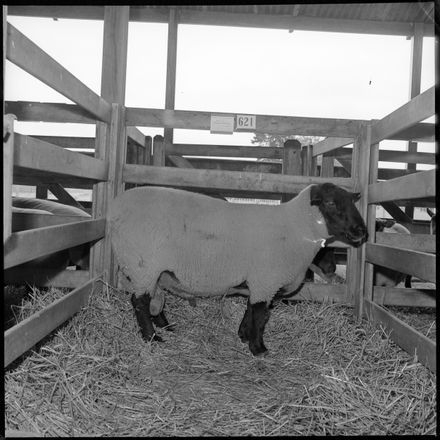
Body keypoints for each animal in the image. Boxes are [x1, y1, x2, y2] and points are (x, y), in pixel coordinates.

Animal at [109, 182, 368, 358]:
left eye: (352, 202)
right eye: (331, 203)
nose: (362, 232)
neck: (297, 228)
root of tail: (116, 206)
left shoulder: (259, 280)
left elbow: (250, 310)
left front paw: (243, 336)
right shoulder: (266, 279)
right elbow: (260, 314)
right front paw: (258, 348)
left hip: (153, 271)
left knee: (154, 298)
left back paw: (168, 327)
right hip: (143, 265)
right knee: (140, 302)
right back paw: (151, 337)